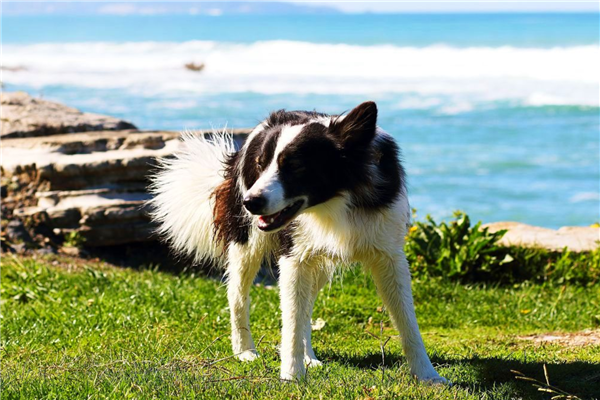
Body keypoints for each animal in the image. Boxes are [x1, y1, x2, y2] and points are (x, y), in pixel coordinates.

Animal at [150, 101, 448, 384]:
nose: (250, 202)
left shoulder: (390, 256)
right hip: (247, 243)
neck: (335, 202)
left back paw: (308, 357)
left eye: (294, 166)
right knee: (237, 295)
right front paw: (291, 377)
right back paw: (245, 351)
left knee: (306, 306)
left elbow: (408, 321)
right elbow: (290, 320)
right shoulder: (293, 258)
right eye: (260, 165)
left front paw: (428, 376)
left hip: (318, 264)